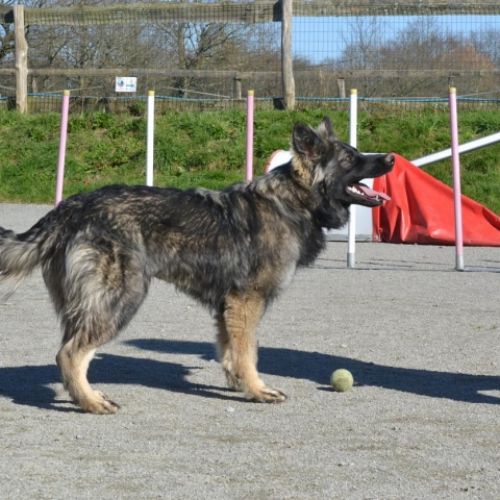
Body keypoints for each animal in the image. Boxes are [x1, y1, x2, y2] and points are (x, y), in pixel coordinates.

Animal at [0, 117, 394, 413]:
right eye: (350, 159)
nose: (390, 158)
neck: (291, 202)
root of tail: (72, 206)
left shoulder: (227, 307)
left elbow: (232, 352)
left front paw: (238, 385)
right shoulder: (246, 301)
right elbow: (249, 352)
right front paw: (257, 390)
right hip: (121, 298)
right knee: (70, 354)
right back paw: (91, 402)